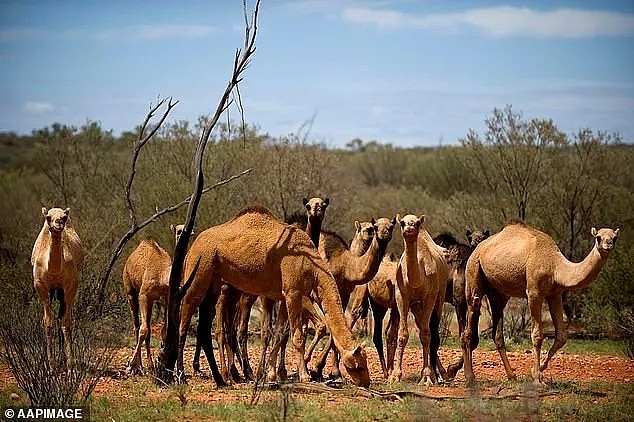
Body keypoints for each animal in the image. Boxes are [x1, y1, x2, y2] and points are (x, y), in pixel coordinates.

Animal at [31, 206, 84, 368]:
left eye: (64, 218)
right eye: (48, 217)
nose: (59, 223)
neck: (53, 269)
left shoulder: (70, 285)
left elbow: (66, 323)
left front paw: (70, 364)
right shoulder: (40, 286)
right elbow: (48, 323)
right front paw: (51, 364)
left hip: (61, 291)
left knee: (61, 317)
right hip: (54, 290)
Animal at [122, 223, 183, 374]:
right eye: (178, 231)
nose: (187, 232)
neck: (162, 275)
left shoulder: (167, 297)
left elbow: (164, 330)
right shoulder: (144, 295)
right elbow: (143, 330)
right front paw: (130, 366)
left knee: (147, 329)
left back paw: (148, 367)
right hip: (130, 290)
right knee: (138, 327)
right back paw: (138, 367)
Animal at [177, 206, 370, 388]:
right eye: (359, 366)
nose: (366, 382)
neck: (313, 267)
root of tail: (194, 244)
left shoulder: (285, 296)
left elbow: (278, 333)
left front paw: (270, 375)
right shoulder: (293, 292)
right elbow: (297, 336)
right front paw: (305, 376)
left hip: (214, 282)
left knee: (206, 326)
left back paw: (222, 379)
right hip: (200, 268)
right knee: (185, 313)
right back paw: (182, 376)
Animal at [386, 214, 450, 386]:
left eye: (416, 223)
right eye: (402, 223)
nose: (409, 228)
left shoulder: (430, 297)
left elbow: (426, 334)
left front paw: (427, 376)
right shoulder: (402, 296)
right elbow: (403, 334)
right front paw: (395, 376)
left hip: (439, 297)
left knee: (431, 331)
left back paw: (439, 374)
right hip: (416, 306)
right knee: (422, 326)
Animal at [460, 223, 616, 388]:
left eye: (614, 237)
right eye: (598, 237)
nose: (608, 245)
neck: (555, 266)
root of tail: (477, 249)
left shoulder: (555, 294)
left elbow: (561, 336)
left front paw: (537, 370)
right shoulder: (534, 293)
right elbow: (537, 335)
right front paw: (537, 378)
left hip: (498, 292)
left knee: (497, 333)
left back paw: (511, 376)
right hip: (473, 272)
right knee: (469, 324)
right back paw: (470, 378)